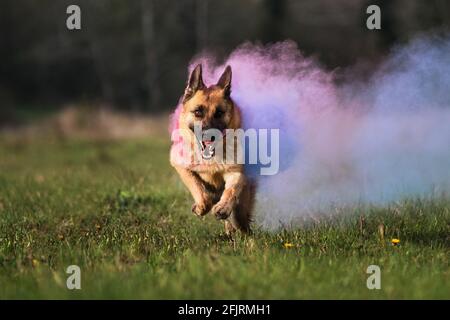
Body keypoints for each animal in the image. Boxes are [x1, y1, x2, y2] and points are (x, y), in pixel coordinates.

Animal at [170, 64, 253, 235]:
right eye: (197, 112)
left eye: (219, 113)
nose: (209, 134)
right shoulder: (181, 166)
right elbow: (197, 187)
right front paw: (201, 207)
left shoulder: (236, 173)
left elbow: (231, 190)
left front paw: (222, 208)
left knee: (241, 220)